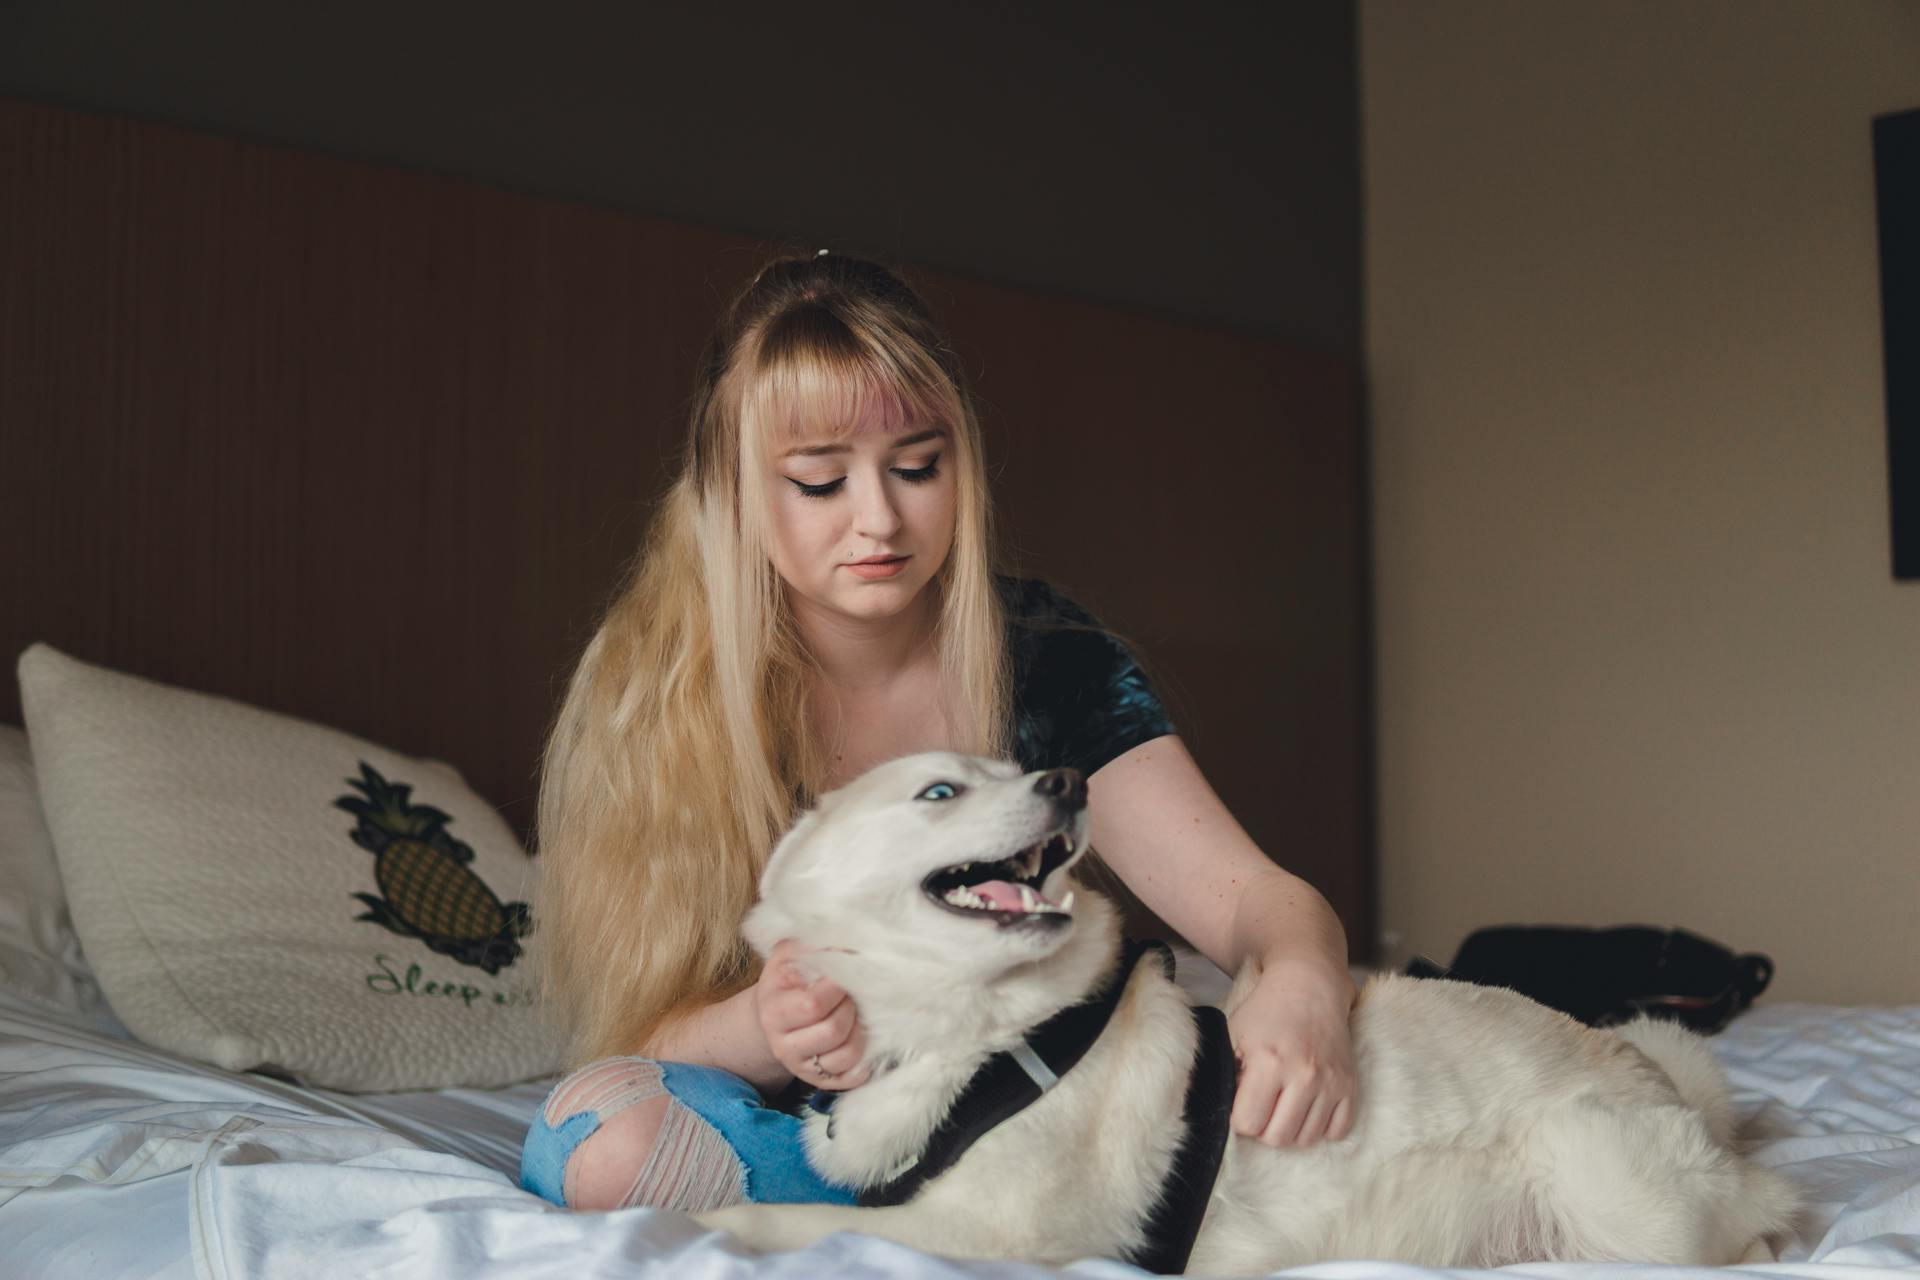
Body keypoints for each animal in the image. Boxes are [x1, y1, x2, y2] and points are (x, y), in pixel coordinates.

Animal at [695, 752, 1797, 1274]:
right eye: (940, 789)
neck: (991, 1037)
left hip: (1616, 1191)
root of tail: (1675, 1090)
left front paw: (708, 1222)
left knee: (1750, 1243)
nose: (1071, 779)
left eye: (1019, 767)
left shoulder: (986, 1235)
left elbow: (786, 1218)